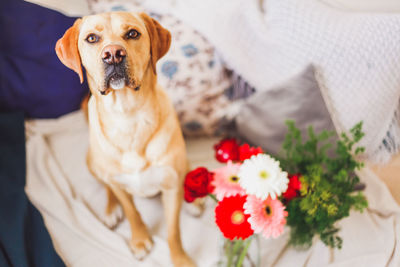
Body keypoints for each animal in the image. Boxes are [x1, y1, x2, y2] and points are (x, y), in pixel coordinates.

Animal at [54, 11, 195, 266]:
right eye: (92, 38)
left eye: (132, 33)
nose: (113, 54)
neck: (129, 116)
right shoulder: (119, 184)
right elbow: (132, 211)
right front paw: (139, 240)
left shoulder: (170, 185)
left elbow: (173, 231)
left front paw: (180, 259)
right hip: (92, 163)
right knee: (107, 186)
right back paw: (111, 210)